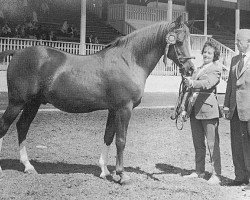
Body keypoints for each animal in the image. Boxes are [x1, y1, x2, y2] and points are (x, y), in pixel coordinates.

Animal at [0, 16, 194, 184]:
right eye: (178, 41)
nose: (191, 69)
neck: (128, 61)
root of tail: (18, 52)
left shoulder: (113, 109)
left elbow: (108, 136)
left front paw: (105, 171)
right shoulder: (124, 108)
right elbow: (121, 140)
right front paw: (121, 175)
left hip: (33, 103)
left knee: (22, 126)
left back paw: (28, 166)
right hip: (16, 103)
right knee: (5, 126)